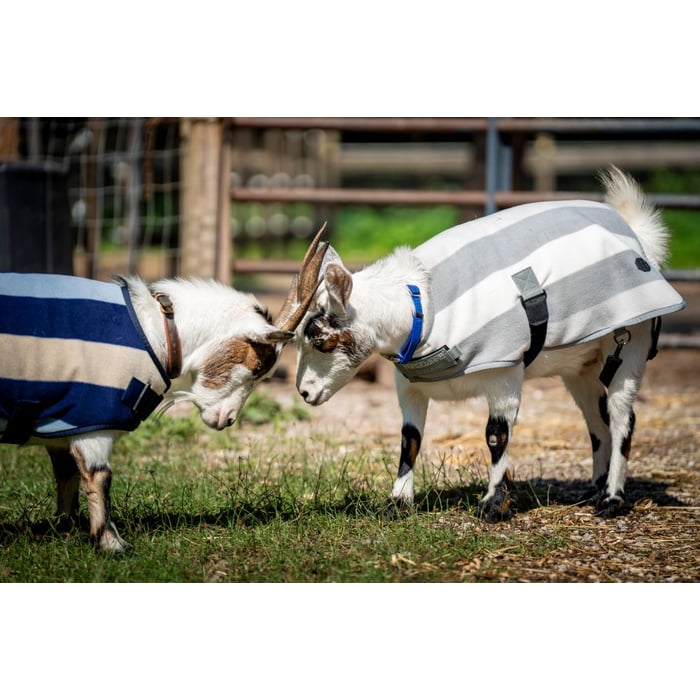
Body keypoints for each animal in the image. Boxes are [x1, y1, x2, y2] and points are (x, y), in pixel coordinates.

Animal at [0, 227, 328, 551]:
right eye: (258, 366)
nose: (227, 419)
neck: (156, 330)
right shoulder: (92, 419)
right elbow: (100, 475)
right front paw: (112, 544)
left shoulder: (62, 424)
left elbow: (65, 473)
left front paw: (66, 530)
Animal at [293, 167, 686, 520]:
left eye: (322, 340)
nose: (304, 393)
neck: (424, 304)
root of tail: (638, 239)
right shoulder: (409, 385)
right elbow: (409, 438)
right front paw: (397, 503)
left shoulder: (504, 372)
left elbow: (496, 435)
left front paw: (495, 503)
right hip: (582, 365)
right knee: (596, 418)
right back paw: (595, 488)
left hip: (630, 343)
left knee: (622, 417)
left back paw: (612, 499)